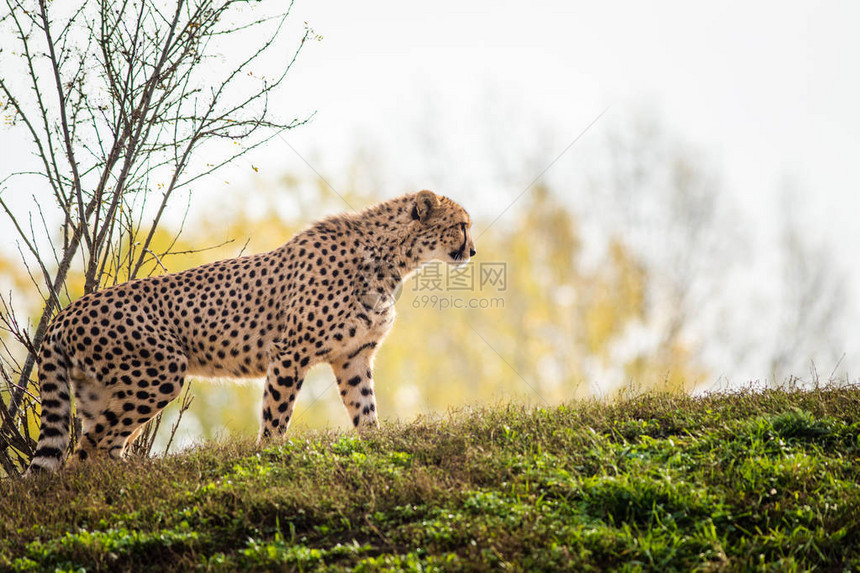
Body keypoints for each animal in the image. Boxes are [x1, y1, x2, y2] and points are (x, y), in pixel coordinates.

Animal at [25, 190, 478, 472]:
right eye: (461, 225)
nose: (473, 250)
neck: (392, 258)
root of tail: (66, 312)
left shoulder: (353, 357)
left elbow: (364, 409)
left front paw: (374, 443)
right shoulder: (290, 352)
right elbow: (277, 413)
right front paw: (270, 456)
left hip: (100, 390)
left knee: (97, 441)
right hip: (159, 373)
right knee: (87, 448)